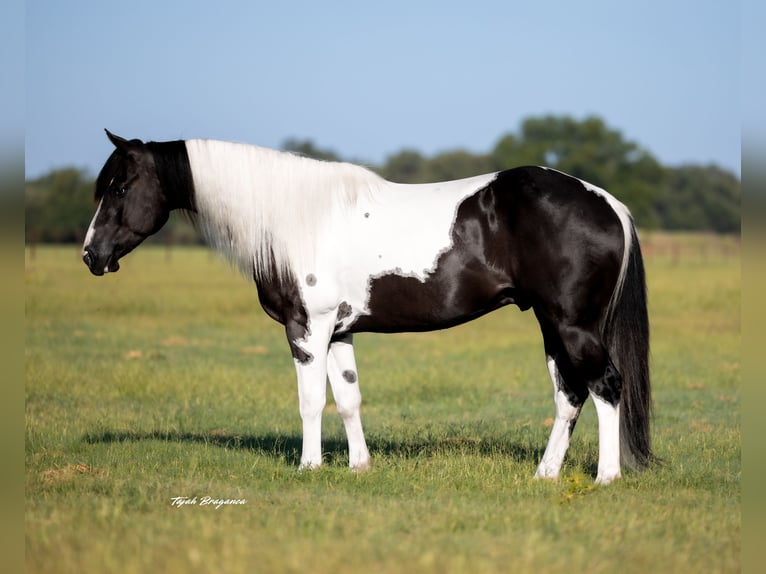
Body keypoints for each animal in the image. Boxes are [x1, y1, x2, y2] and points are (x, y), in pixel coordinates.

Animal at [82, 130, 652, 484]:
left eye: (121, 185)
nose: (91, 256)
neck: (297, 217)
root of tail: (607, 202)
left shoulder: (306, 329)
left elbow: (311, 401)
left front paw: (309, 468)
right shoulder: (339, 332)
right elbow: (348, 399)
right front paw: (359, 468)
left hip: (572, 325)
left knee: (605, 386)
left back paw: (605, 477)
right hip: (551, 325)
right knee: (570, 395)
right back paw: (545, 474)